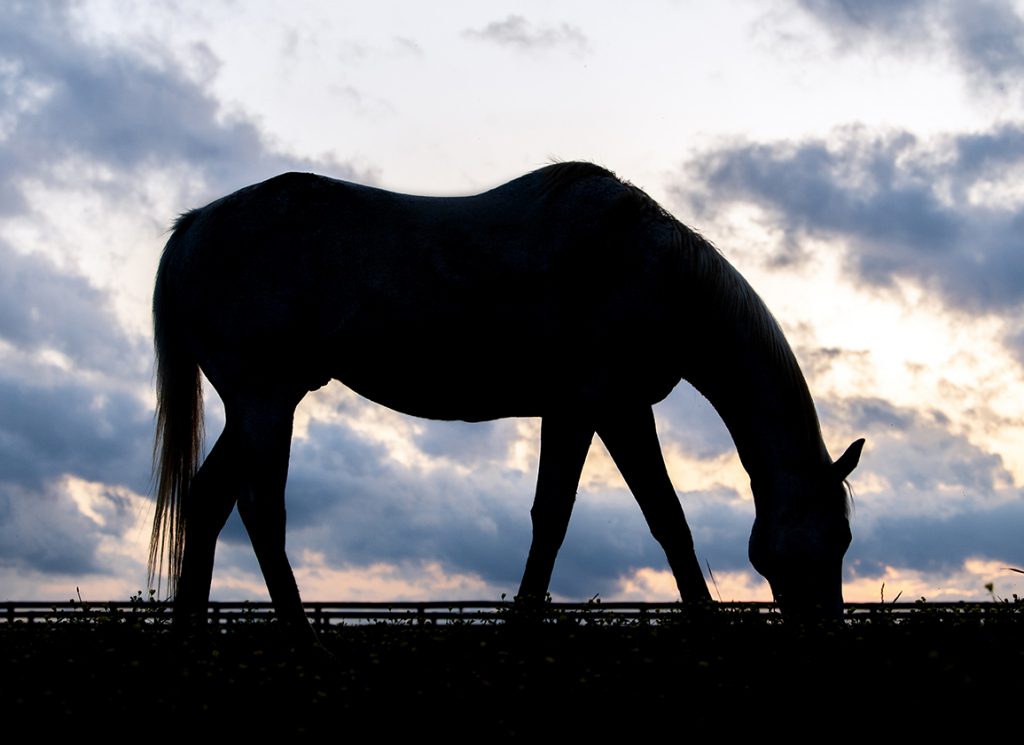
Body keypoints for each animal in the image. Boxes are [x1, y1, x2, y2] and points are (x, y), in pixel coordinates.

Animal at [149, 161, 864, 636]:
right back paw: (298, 634)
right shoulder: (611, 407)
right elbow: (651, 518)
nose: (828, 631)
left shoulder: (579, 411)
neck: (649, 268)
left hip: (258, 405)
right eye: (834, 537)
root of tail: (193, 227)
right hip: (265, 400)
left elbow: (566, 518)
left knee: (208, 500)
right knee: (261, 510)